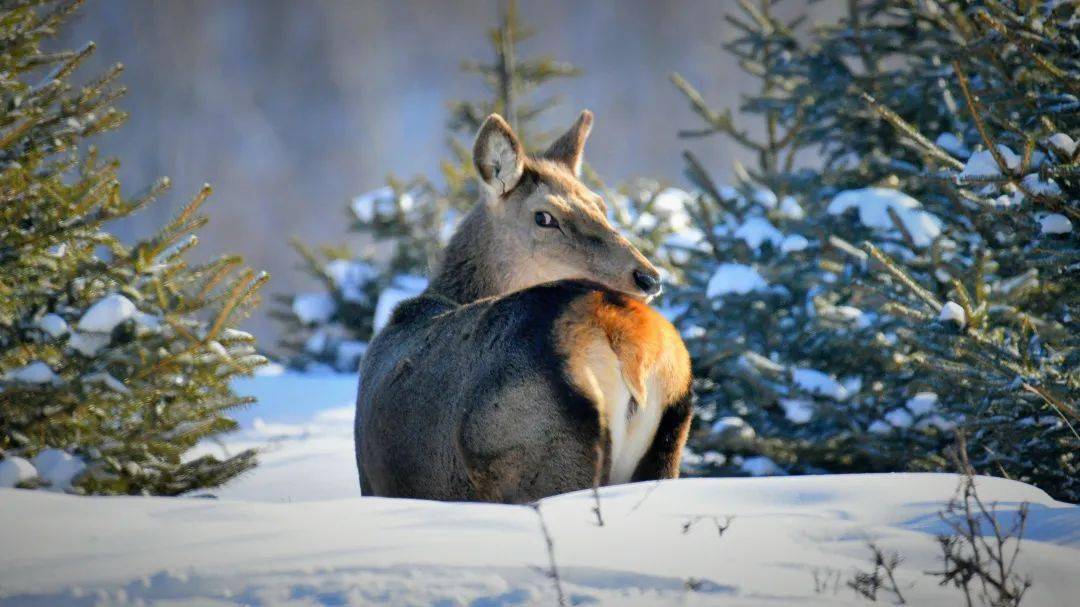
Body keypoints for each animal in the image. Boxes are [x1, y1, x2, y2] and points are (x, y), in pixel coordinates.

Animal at [354, 108, 691, 501]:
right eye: (544, 217)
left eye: (600, 207)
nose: (648, 277)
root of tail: (625, 343)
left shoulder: (372, 484)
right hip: (666, 446)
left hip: (534, 454)